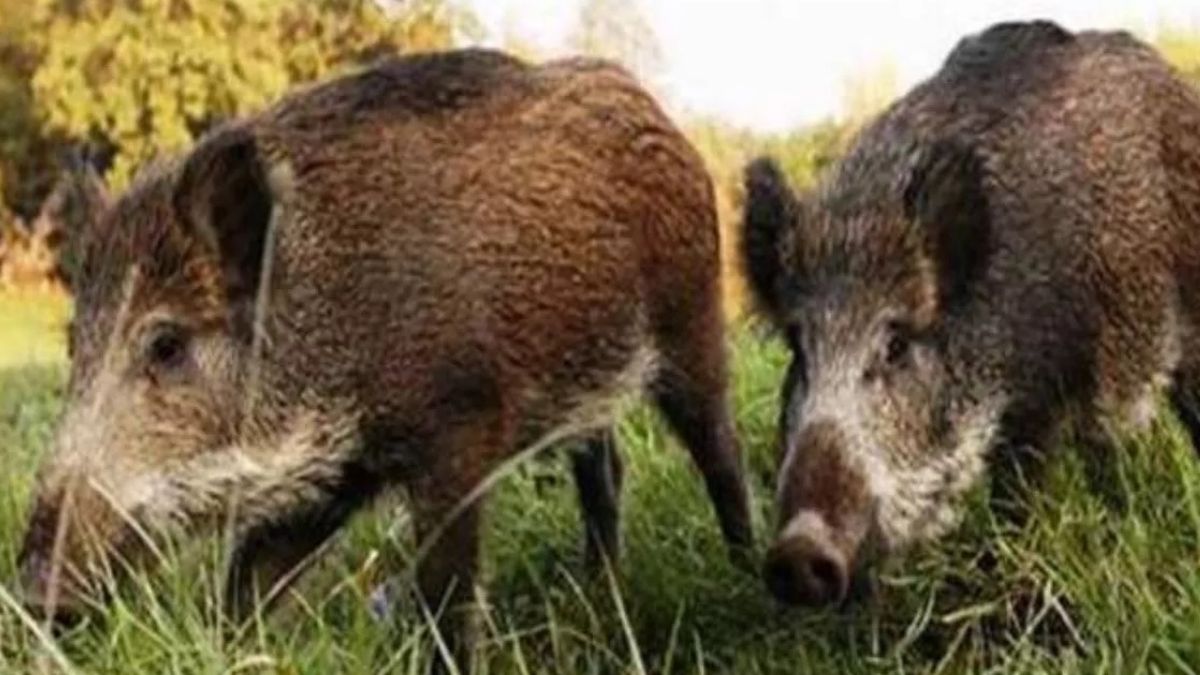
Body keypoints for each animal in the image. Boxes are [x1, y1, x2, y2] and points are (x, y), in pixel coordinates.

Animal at [15, 48, 753, 667]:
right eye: (74, 342)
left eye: (166, 344)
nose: (33, 593)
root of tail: (661, 116)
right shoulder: (325, 476)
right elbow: (246, 585)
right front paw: (225, 651)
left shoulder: (457, 428)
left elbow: (445, 591)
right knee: (604, 466)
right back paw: (599, 591)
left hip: (694, 323)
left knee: (720, 449)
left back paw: (740, 572)